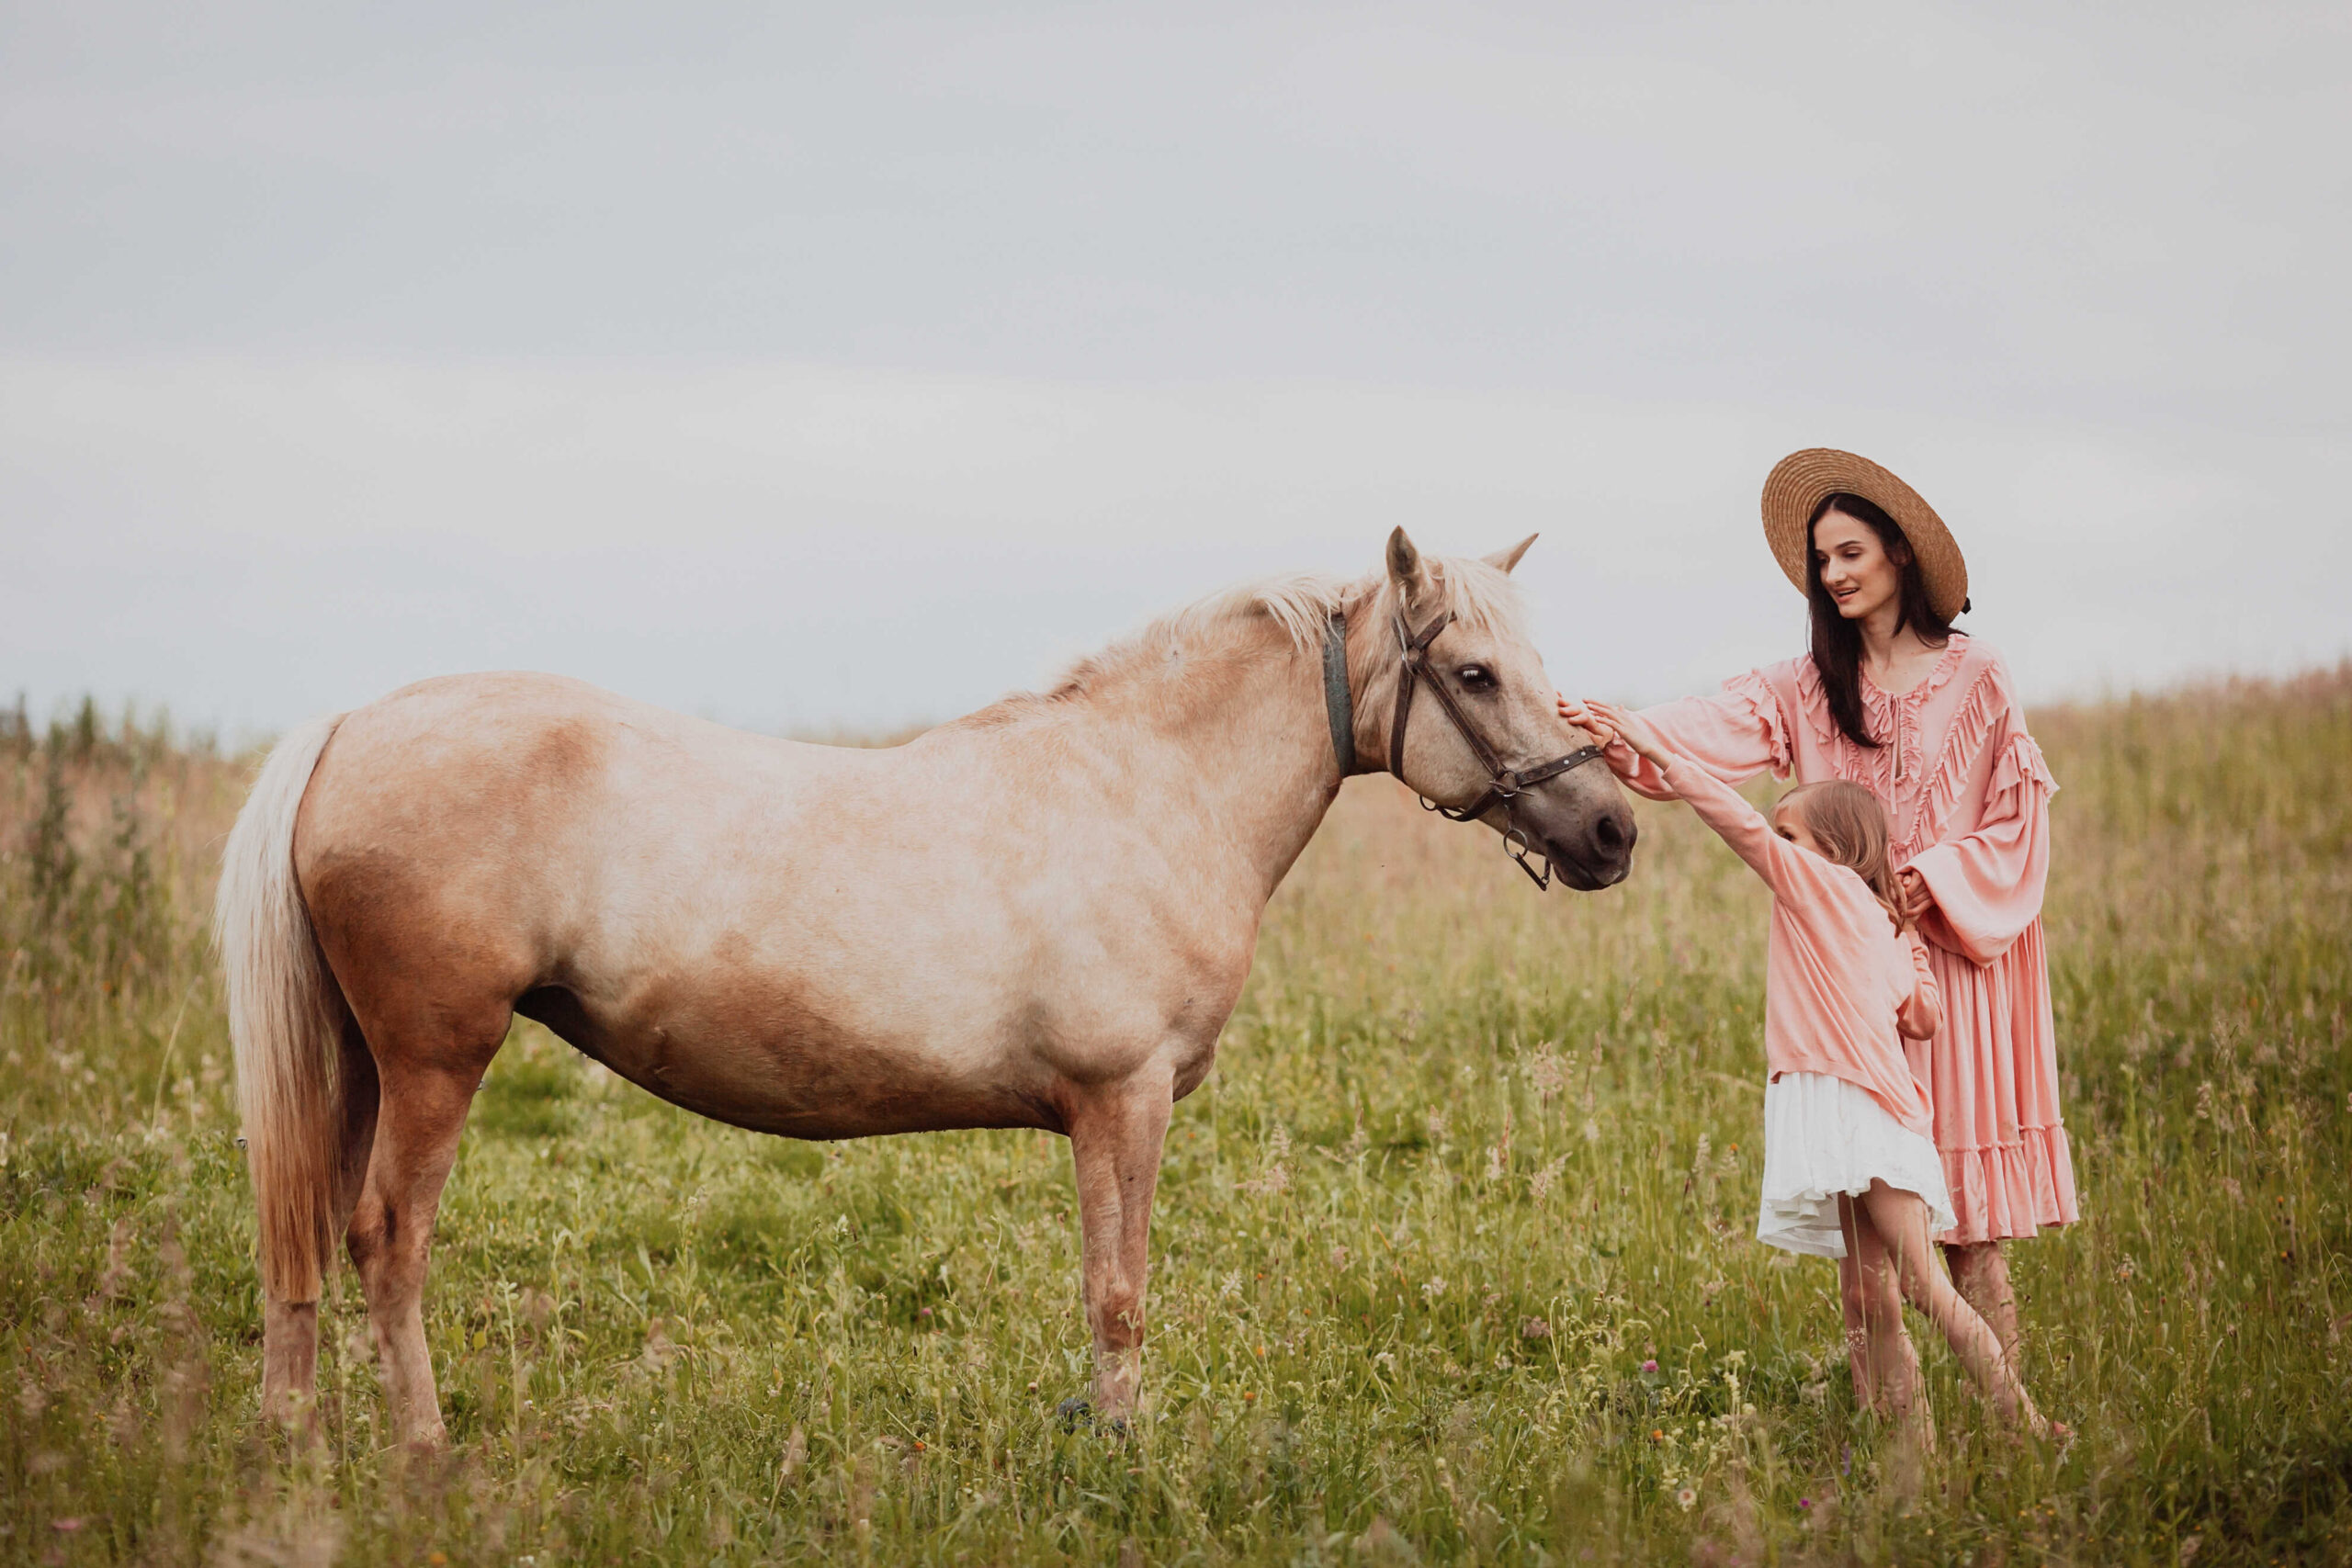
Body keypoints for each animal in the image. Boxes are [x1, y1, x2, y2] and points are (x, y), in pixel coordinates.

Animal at [216, 531, 1636, 1448]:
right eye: (1474, 674)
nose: (1612, 829)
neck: (1148, 784)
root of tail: (351, 725)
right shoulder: (1123, 1102)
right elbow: (1117, 1292)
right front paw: (1123, 1457)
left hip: (358, 1062)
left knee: (305, 1229)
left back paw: (296, 1442)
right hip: (435, 1058)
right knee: (386, 1239)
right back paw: (422, 1453)